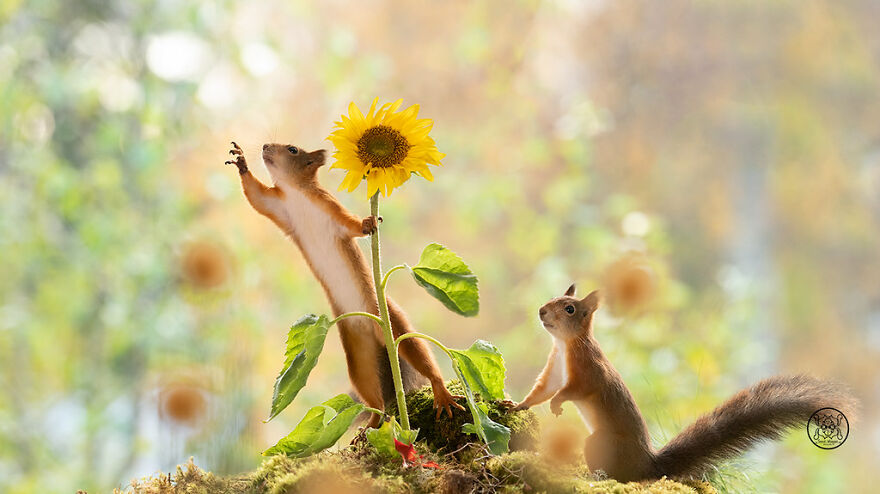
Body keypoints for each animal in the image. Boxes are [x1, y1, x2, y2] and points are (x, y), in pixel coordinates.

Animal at [225, 141, 463, 428]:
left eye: (293, 150)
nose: (265, 146)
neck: (296, 193)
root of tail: (377, 332)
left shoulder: (331, 208)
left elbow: (351, 225)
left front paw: (368, 222)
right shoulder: (278, 206)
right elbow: (256, 198)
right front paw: (241, 162)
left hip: (391, 322)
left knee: (417, 353)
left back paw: (441, 393)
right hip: (358, 352)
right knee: (373, 398)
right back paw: (371, 424)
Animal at [514, 284, 856, 482]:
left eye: (570, 308)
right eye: (551, 298)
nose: (541, 311)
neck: (565, 345)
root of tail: (649, 465)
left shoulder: (588, 371)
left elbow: (574, 390)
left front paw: (558, 404)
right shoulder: (554, 370)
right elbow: (542, 389)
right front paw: (517, 405)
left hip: (603, 444)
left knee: (620, 476)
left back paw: (597, 476)